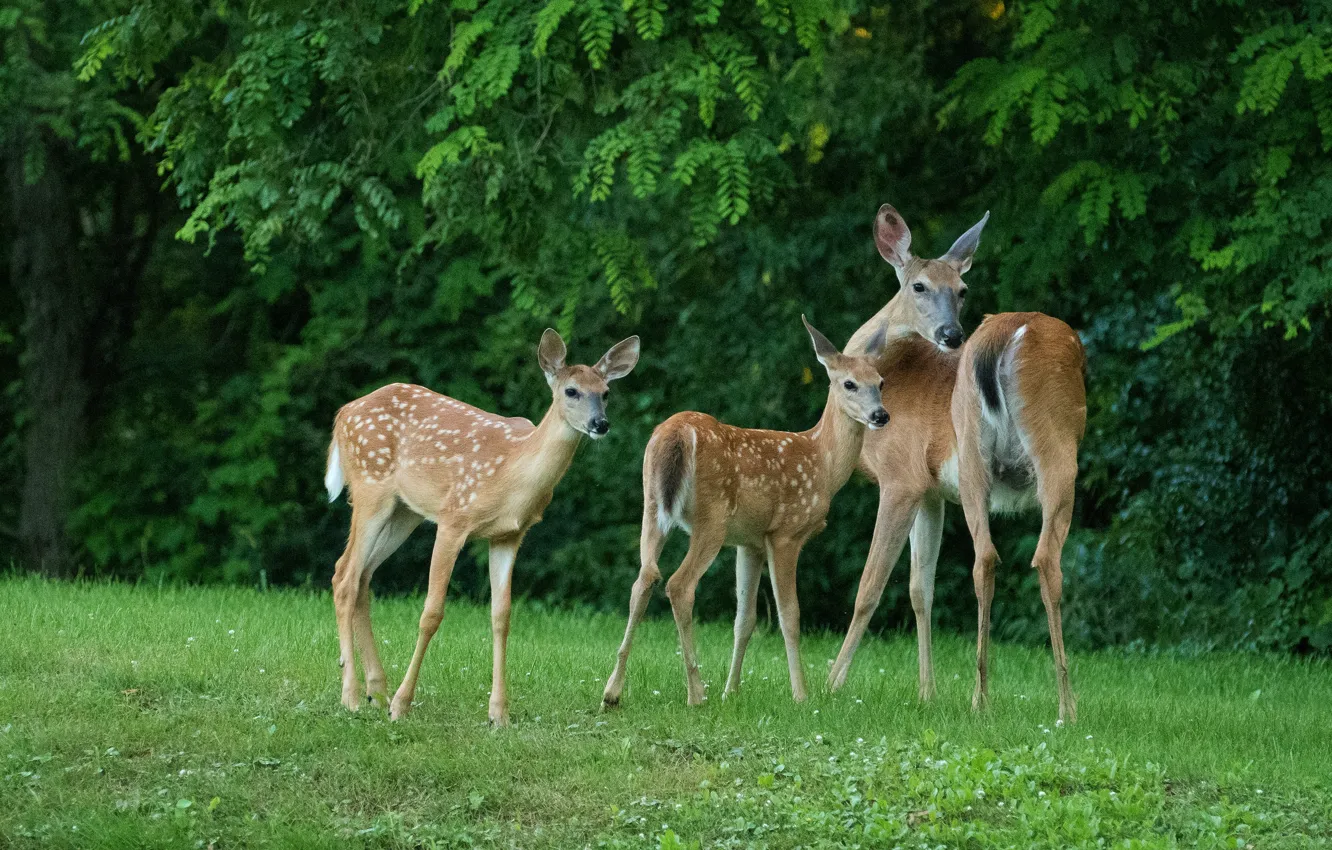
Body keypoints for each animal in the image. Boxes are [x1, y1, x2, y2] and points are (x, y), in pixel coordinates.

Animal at [323, 328, 640, 726]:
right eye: (572, 391)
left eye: (606, 392)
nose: (601, 424)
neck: (511, 474)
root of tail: (343, 412)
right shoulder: (453, 519)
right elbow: (431, 613)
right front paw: (402, 704)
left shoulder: (508, 535)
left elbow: (501, 616)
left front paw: (498, 714)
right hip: (370, 486)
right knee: (345, 576)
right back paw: (352, 695)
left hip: (404, 511)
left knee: (362, 576)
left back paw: (375, 692)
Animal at [602, 317, 889, 708]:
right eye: (849, 383)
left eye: (881, 382)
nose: (880, 414)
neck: (823, 463)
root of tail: (677, 431)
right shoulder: (785, 533)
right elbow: (789, 615)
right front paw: (801, 695)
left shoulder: (749, 542)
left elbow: (745, 619)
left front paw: (731, 691)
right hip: (713, 517)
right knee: (679, 585)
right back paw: (696, 692)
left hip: (651, 505)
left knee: (644, 578)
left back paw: (612, 692)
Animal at [826, 204, 1086, 724]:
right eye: (919, 286)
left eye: (962, 290)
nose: (951, 335)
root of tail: (1008, 335)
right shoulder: (930, 493)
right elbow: (919, 589)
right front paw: (927, 692)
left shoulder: (900, 478)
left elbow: (870, 586)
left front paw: (831, 684)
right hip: (1045, 459)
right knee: (1038, 557)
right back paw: (1053, 703)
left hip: (991, 454)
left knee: (993, 558)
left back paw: (991, 697)